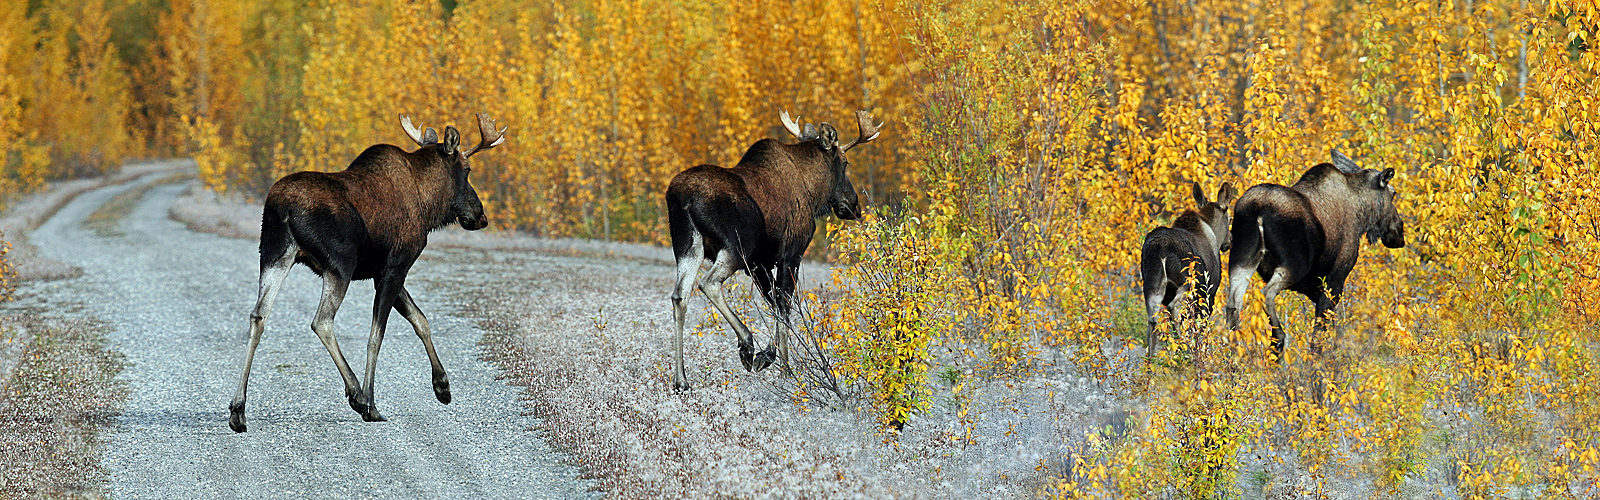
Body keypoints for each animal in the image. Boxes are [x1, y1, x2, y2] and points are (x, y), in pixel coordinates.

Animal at [227, 113, 505, 432]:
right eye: (467, 170)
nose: (480, 215)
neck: (428, 205)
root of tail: (282, 207)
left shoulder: (379, 272)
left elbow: (420, 320)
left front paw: (442, 387)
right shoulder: (396, 264)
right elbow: (377, 335)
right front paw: (372, 403)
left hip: (274, 255)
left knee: (258, 316)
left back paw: (238, 410)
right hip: (340, 264)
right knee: (321, 321)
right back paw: (358, 396)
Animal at [664, 109, 882, 391]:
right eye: (845, 163)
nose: (854, 206)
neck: (813, 193)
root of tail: (683, 197)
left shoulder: (760, 263)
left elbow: (775, 303)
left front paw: (772, 357)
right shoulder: (790, 254)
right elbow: (784, 306)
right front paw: (781, 366)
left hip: (688, 246)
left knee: (680, 295)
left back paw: (681, 379)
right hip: (737, 246)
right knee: (708, 283)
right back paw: (746, 344)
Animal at [1140, 182, 1237, 358]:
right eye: (1230, 218)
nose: (1230, 241)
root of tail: (1161, 248)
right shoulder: (1208, 294)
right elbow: (1201, 326)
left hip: (1151, 283)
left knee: (1152, 317)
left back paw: (1150, 361)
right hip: (1187, 283)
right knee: (1175, 307)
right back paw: (1184, 348)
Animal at [1224, 149, 1406, 362]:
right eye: (1393, 193)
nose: (1399, 231)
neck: (1362, 216)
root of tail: (1257, 208)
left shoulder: (1312, 286)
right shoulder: (1336, 277)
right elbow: (1321, 328)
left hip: (1241, 257)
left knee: (1233, 303)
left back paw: (1234, 351)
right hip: (1295, 263)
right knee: (1266, 292)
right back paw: (1277, 341)